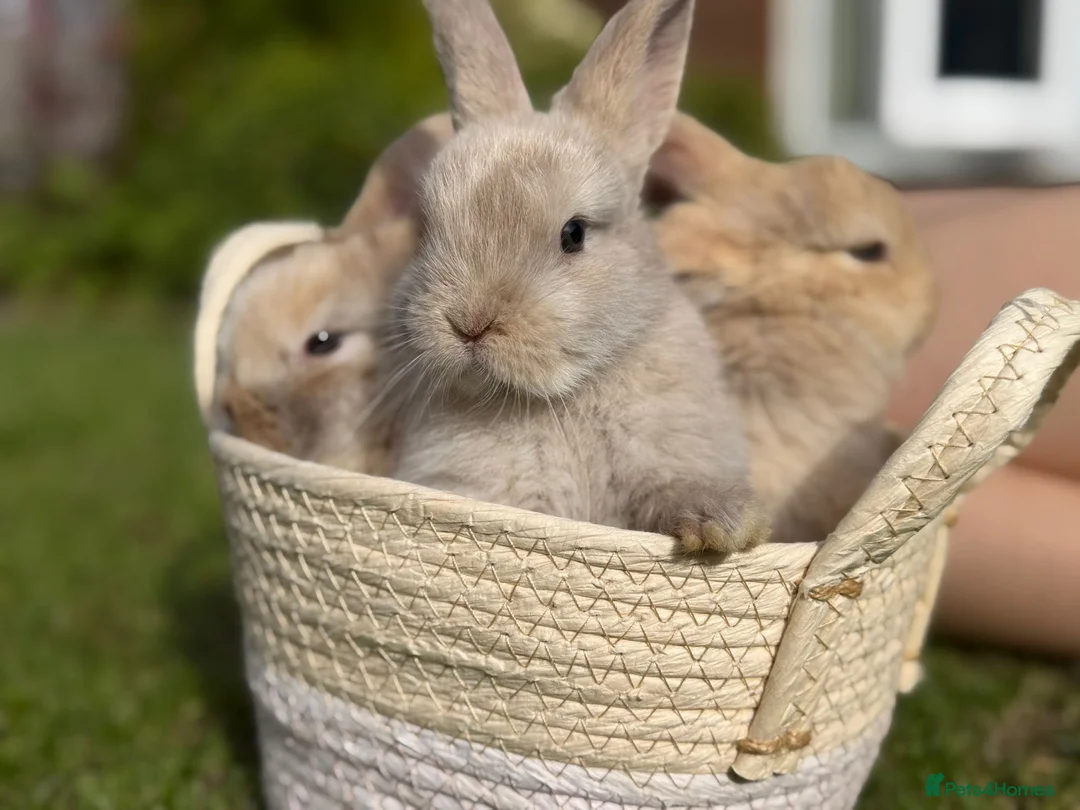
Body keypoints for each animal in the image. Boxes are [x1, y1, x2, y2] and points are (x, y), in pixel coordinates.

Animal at [383, 0, 769, 554]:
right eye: (426, 229)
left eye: (574, 234)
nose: (468, 323)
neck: (559, 399)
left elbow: (672, 489)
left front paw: (726, 527)